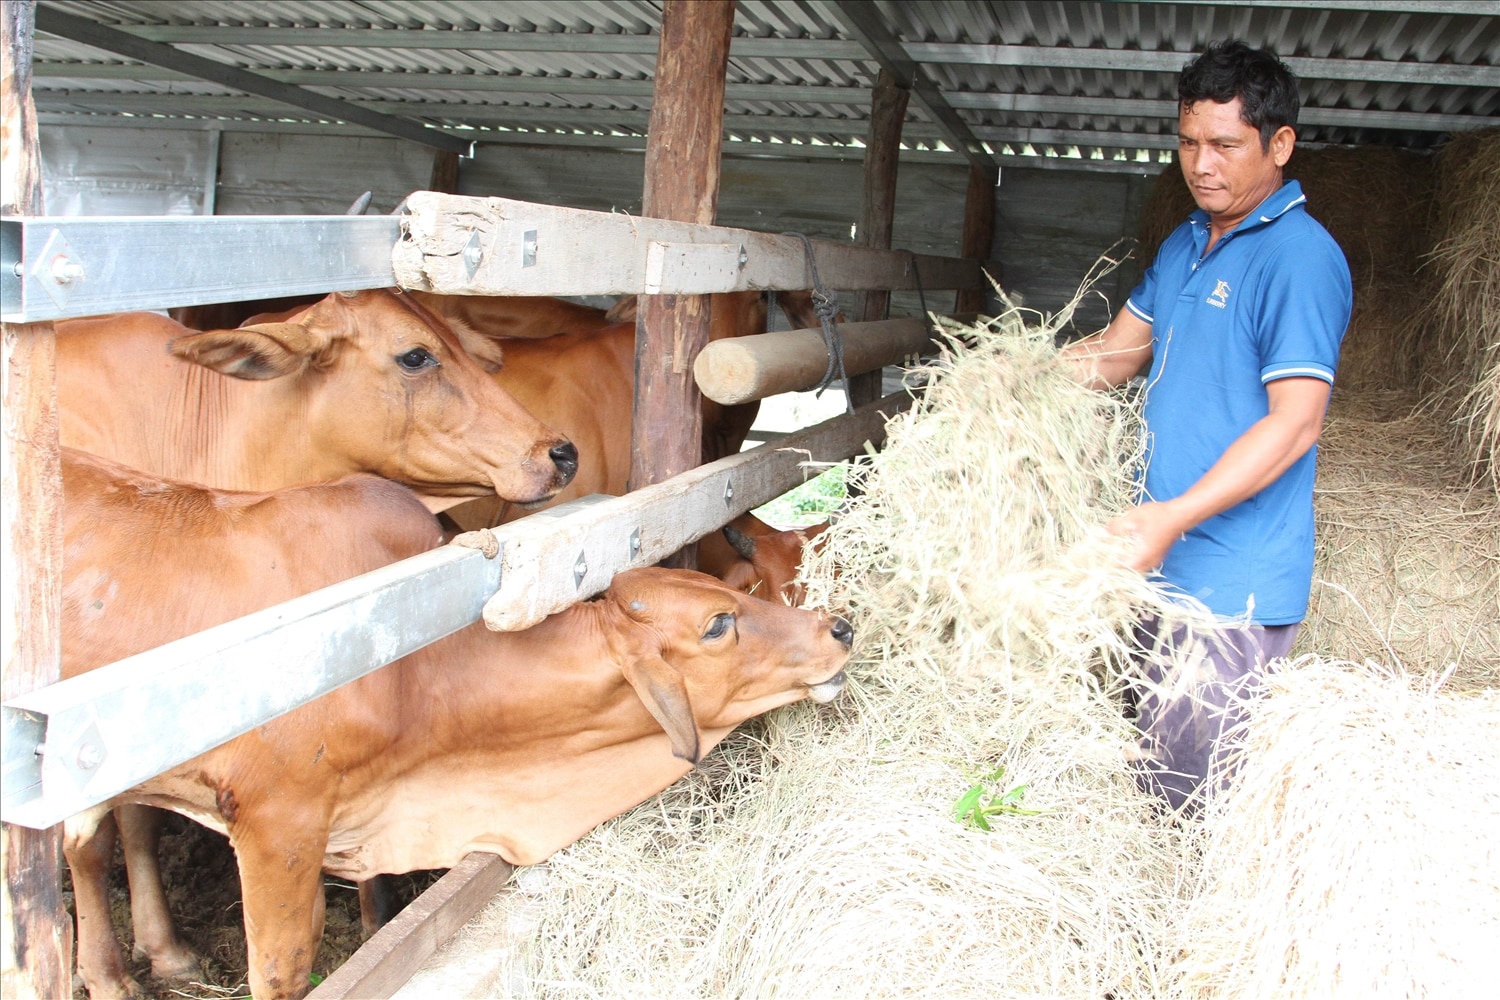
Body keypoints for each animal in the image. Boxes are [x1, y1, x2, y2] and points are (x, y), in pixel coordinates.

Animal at [64, 452, 858, 1000]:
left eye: (723, 588)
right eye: (720, 621)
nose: (839, 627)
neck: (413, 674)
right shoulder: (276, 826)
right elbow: (282, 969)